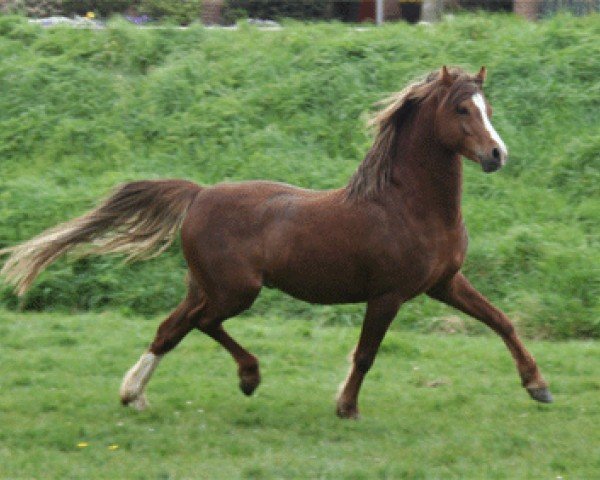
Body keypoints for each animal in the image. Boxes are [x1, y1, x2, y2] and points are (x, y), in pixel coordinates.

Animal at [0, 66, 552, 416]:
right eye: (461, 109)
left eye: (487, 106)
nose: (497, 155)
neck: (408, 206)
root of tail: (199, 194)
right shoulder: (388, 295)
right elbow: (366, 354)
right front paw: (345, 407)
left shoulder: (445, 283)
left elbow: (501, 321)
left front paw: (538, 387)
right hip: (235, 291)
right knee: (203, 324)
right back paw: (248, 377)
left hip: (205, 285)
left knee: (171, 327)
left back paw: (133, 395)